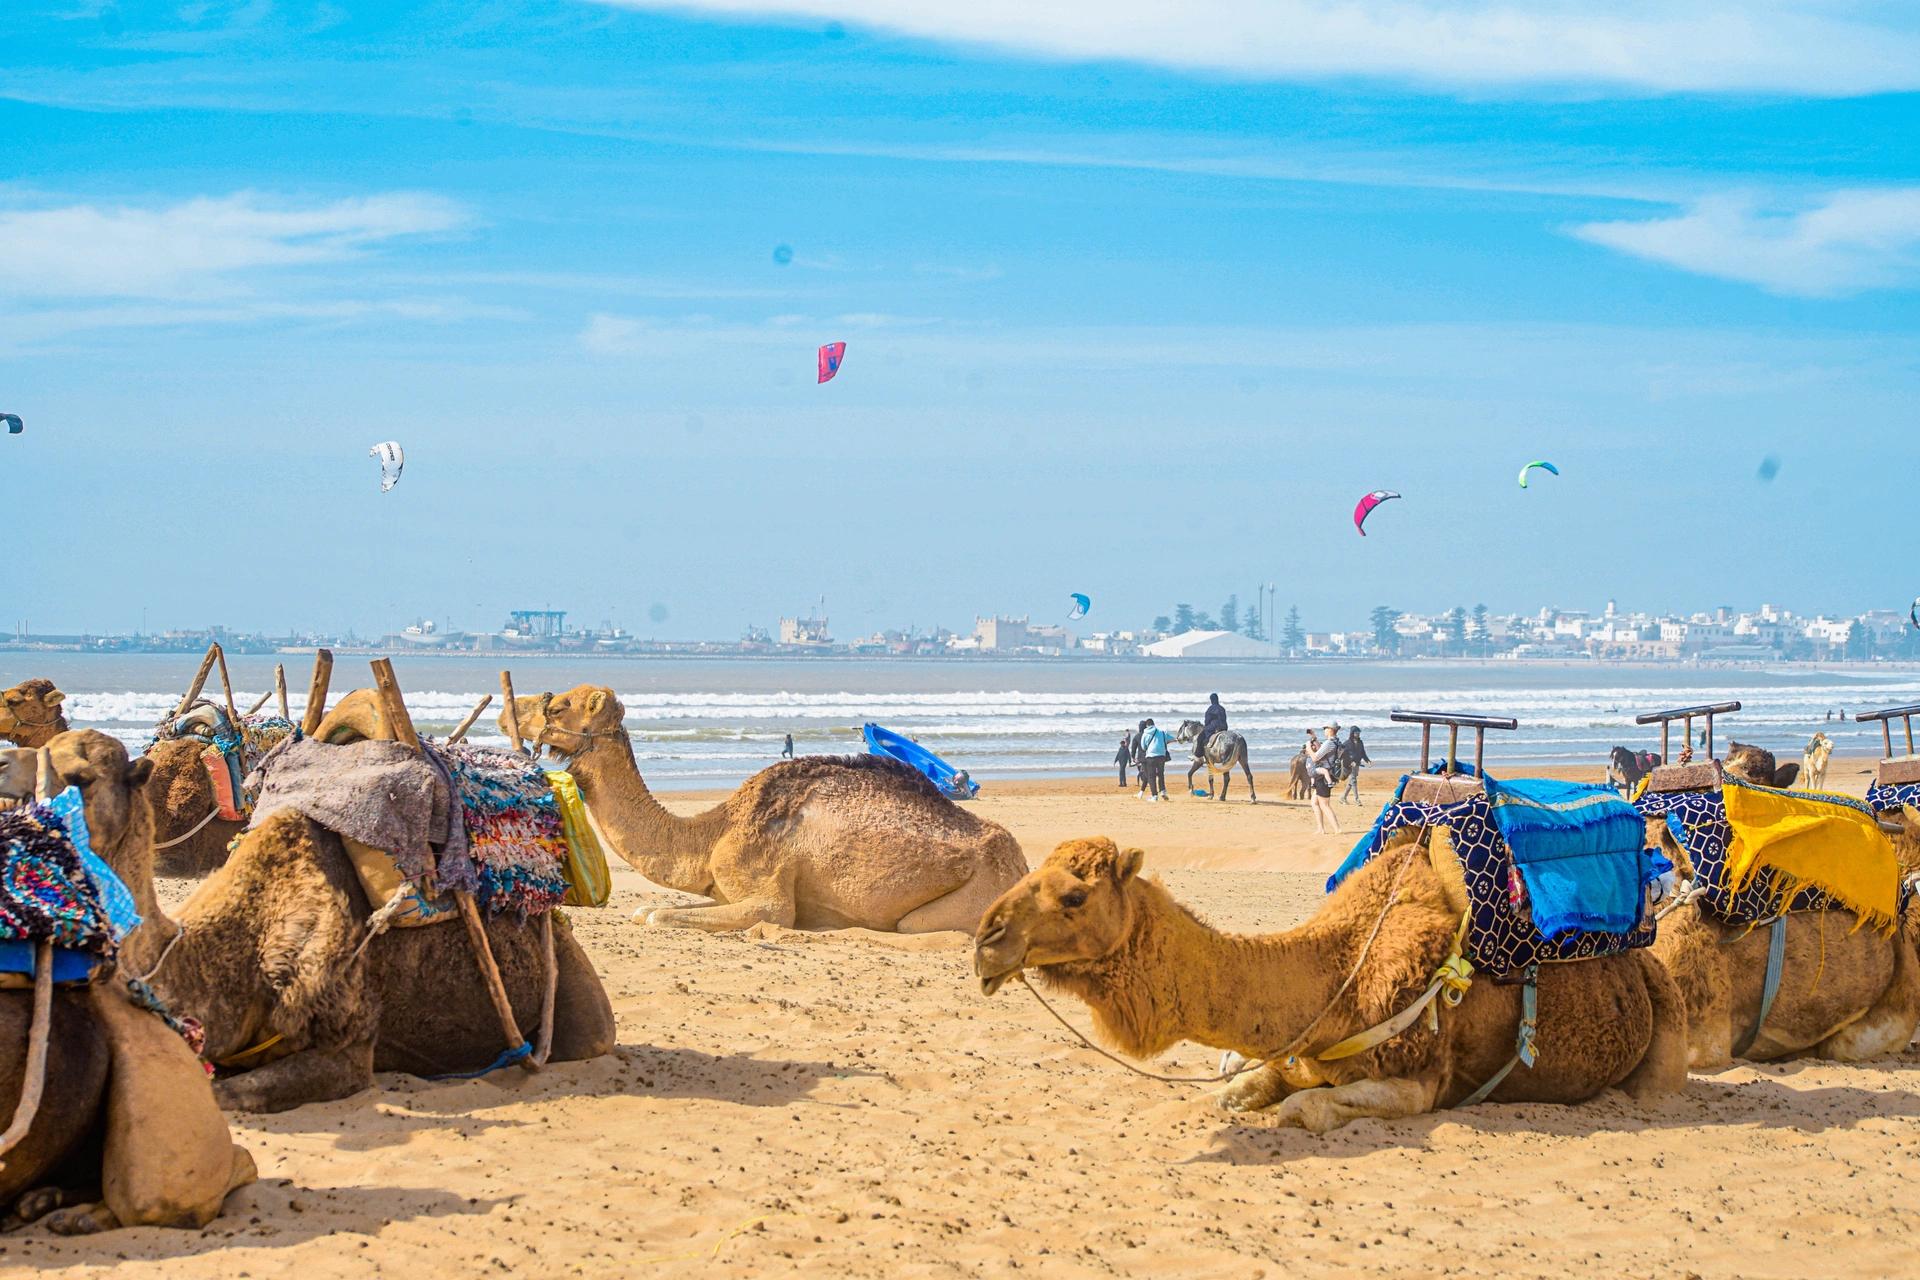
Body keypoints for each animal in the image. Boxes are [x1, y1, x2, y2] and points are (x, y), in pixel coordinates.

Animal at [506, 685, 1027, 934]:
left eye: (561, 706)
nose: (511, 709)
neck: (710, 833)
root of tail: (1021, 862)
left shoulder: (769, 895)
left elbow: (659, 917)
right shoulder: (723, 891)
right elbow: (649, 909)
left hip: (973, 895)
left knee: (915, 924)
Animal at [973, 836, 1687, 1133]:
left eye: (1073, 896)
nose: (986, 938)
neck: (1337, 975)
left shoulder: (1421, 1084)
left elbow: (1305, 1110)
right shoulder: (1298, 1049)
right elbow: (1238, 1091)